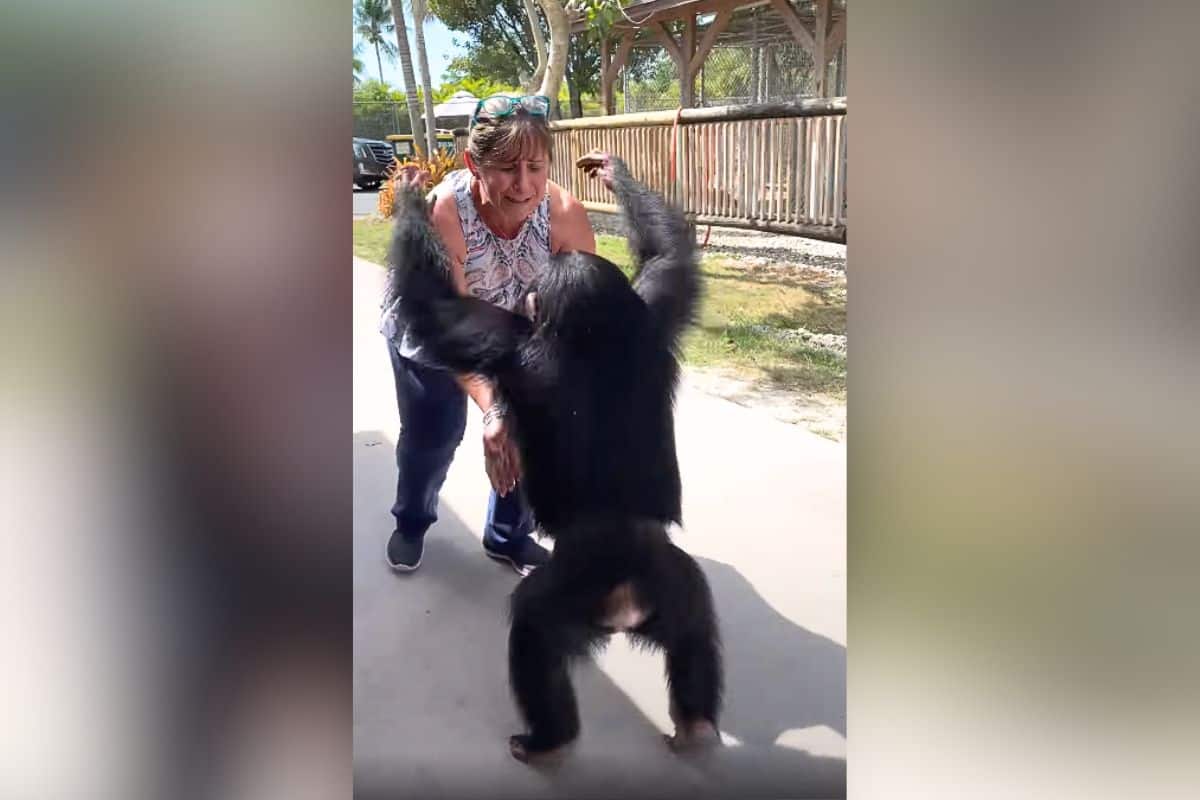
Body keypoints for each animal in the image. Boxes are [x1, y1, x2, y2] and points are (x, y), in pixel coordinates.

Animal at [388, 154, 720, 762]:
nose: (527, 293)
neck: (595, 336)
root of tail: (627, 592)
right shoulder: (651, 307)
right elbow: (669, 258)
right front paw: (612, 173)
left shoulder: (506, 338)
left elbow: (435, 305)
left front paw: (411, 193)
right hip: (679, 587)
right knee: (695, 633)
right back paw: (696, 725)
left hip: (573, 593)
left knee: (532, 631)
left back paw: (544, 740)